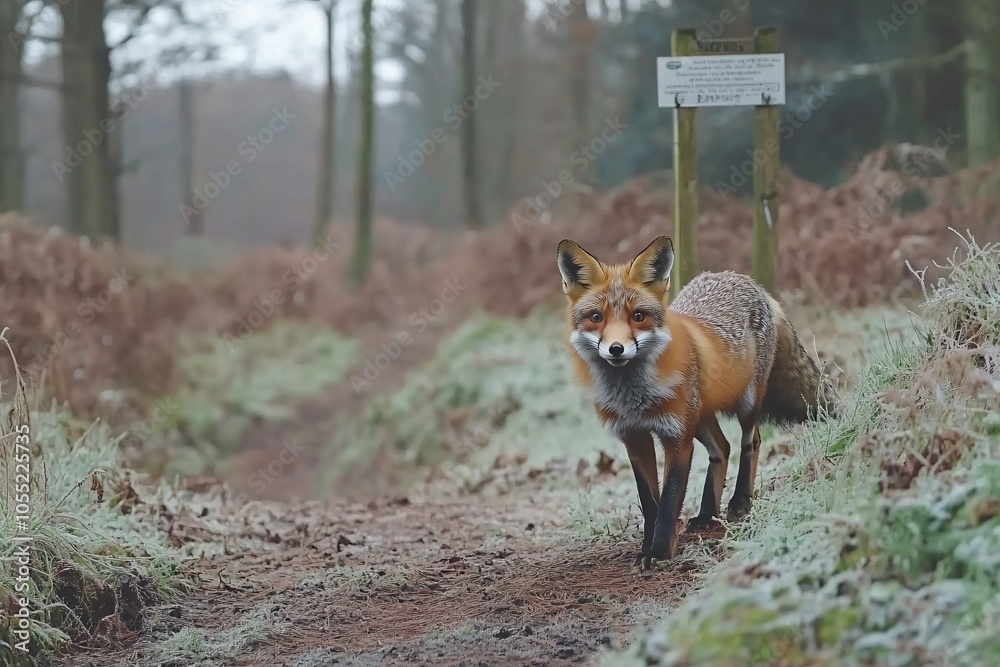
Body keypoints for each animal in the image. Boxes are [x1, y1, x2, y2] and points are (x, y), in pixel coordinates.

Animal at [557, 235, 835, 569]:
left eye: (638, 316)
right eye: (596, 318)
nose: (616, 349)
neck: (634, 397)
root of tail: (748, 281)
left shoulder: (677, 437)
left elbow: (668, 502)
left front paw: (660, 552)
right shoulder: (634, 438)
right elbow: (650, 504)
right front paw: (646, 549)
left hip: (745, 403)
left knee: (751, 441)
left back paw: (740, 502)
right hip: (700, 418)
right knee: (722, 449)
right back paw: (707, 515)